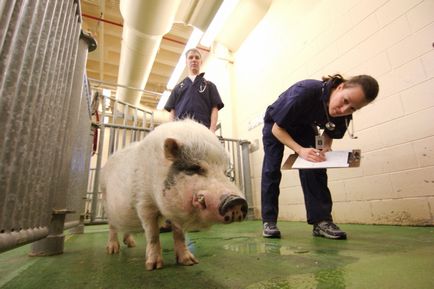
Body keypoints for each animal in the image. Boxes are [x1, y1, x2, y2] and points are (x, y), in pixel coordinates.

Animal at [99, 118, 248, 268]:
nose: (236, 200)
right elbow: (152, 234)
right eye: (195, 168)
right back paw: (112, 250)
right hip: (106, 202)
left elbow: (179, 234)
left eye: (225, 172)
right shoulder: (144, 203)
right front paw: (154, 266)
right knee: (112, 226)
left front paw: (190, 261)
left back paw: (131, 244)